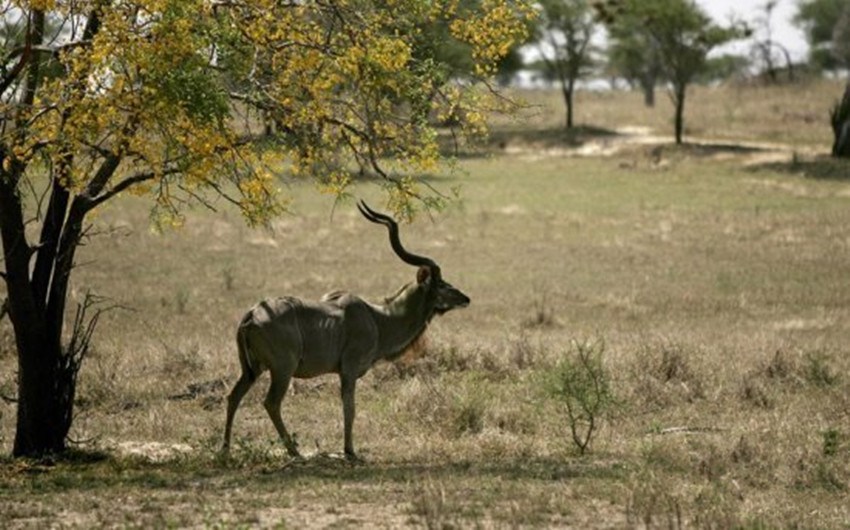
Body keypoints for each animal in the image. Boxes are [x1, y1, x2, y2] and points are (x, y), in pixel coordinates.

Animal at [222, 199, 468, 458]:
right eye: (441, 284)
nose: (466, 298)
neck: (378, 319)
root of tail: (251, 315)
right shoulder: (349, 370)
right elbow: (350, 408)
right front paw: (350, 450)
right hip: (282, 369)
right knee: (271, 402)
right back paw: (294, 451)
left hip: (252, 370)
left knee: (233, 396)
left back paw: (225, 449)